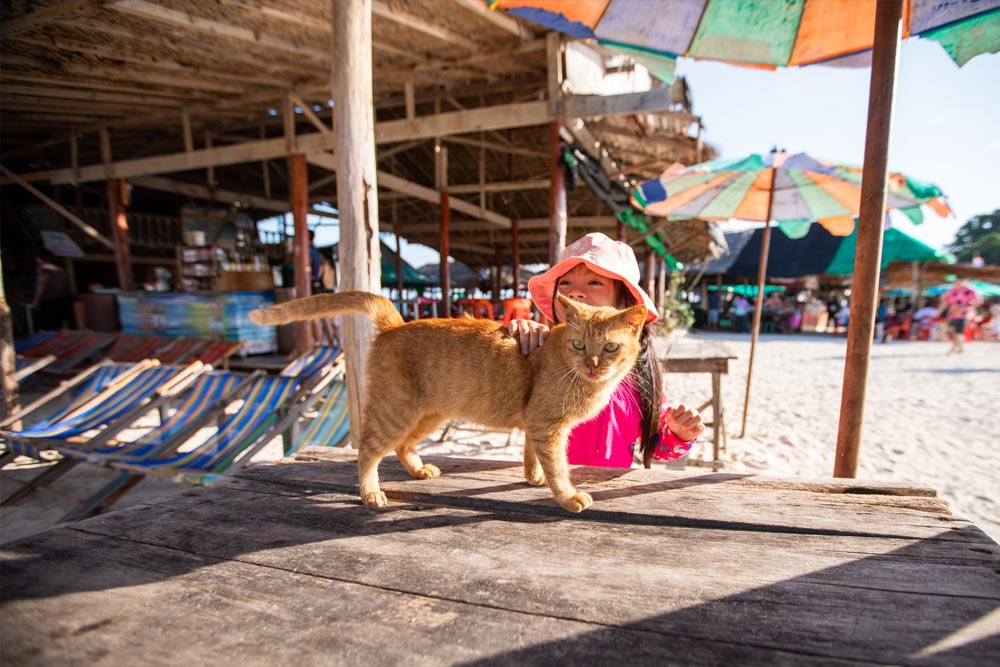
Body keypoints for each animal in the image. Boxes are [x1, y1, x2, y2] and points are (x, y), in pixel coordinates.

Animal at [249, 290, 640, 516]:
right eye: (579, 344)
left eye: (610, 347)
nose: (592, 364)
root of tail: (396, 324)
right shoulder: (547, 426)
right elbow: (559, 468)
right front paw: (567, 496)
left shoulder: (536, 425)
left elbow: (532, 456)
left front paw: (534, 477)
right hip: (395, 412)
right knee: (367, 451)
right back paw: (371, 493)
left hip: (426, 417)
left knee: (401, 446)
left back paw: (419, 470)